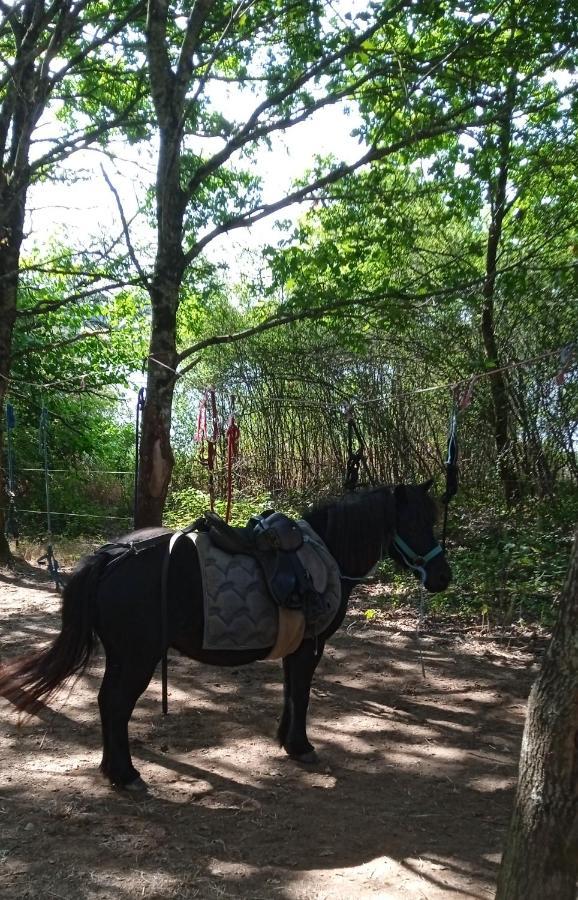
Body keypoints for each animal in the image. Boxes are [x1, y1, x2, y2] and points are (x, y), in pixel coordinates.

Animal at [0, 486, 450, 788]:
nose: (443, 578)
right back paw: (126, 774)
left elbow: (290, 692)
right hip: (138, 657)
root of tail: (111, 556)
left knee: (107, 703)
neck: (327, 557)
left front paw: (287, 741)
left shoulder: (296, 648)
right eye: (415, 521)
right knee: (115, 704)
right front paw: (301, 746)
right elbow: (301, 694)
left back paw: (114, 770)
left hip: (124, 655)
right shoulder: (310, 647)